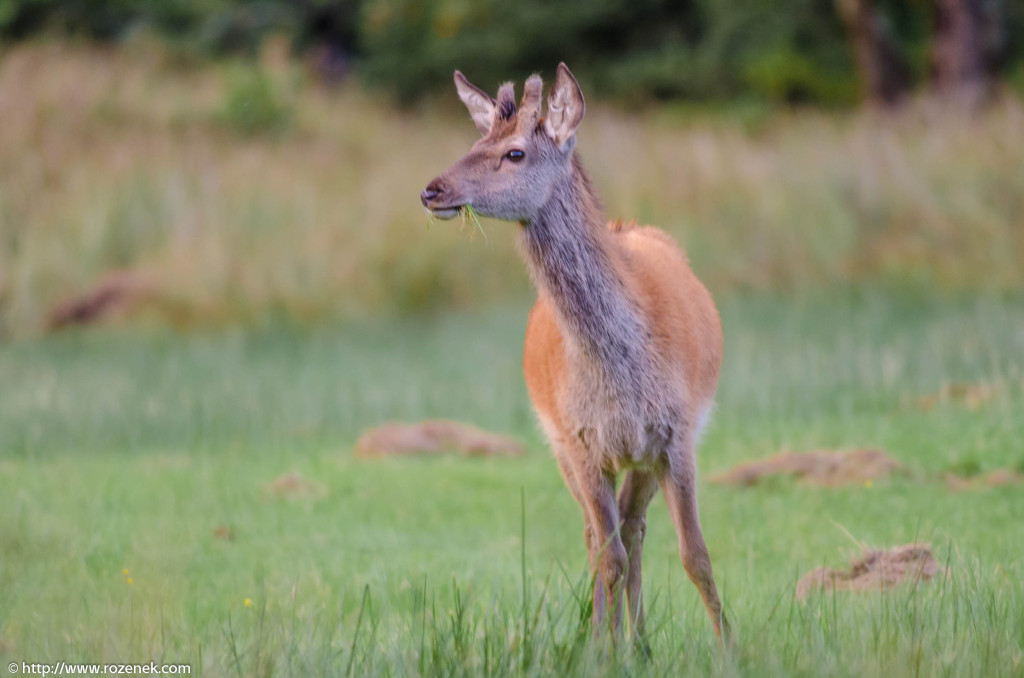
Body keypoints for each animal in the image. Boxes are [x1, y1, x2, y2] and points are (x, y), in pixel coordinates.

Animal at [417, 63, 729, 643]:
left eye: (514, 152)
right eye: (475, 142)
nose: (432, 190)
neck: (622, 370)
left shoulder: (677, 434)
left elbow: (695, 556)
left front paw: (730, 650)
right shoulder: (582, 441)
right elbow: (609, 559)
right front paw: (601, 651)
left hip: (642, 455)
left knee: (634, 527)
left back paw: (640, 644)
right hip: (561, 445)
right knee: (602, 537)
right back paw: (621, 642)